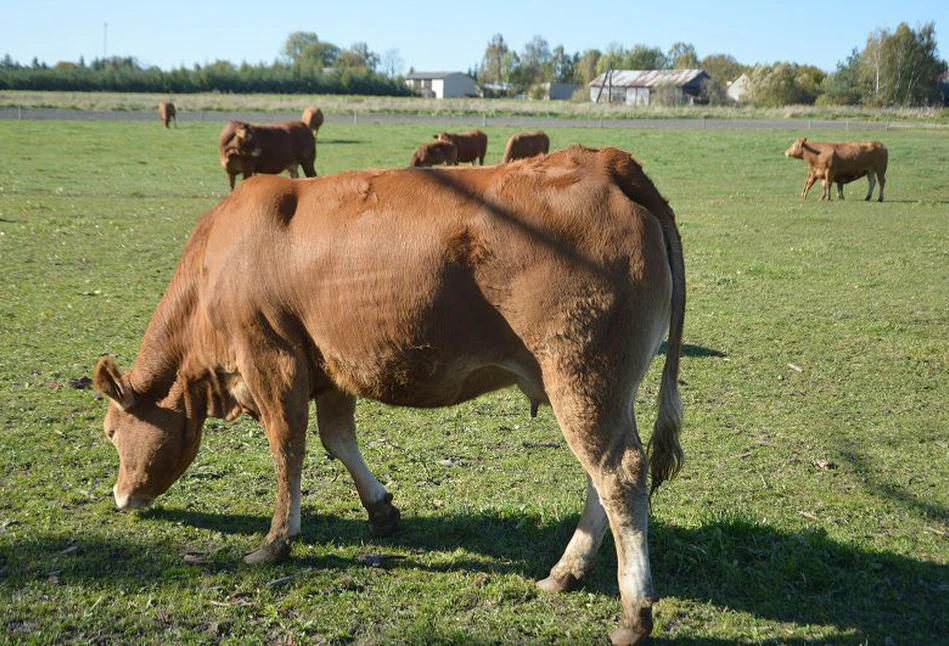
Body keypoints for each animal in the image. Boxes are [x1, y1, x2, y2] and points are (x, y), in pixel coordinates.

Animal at [94, 147, 680, 646]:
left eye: (111, 432)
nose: (120, 497)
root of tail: (603, 161)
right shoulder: (329, 367)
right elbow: (337, 440)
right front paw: (380, 509)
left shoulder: (272, 361)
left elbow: (288, 451)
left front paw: (275, 542)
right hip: (603, 387)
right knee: (601, 477)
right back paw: (566, 572)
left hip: (581, 375)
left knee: (618, 475)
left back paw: (634, 613)